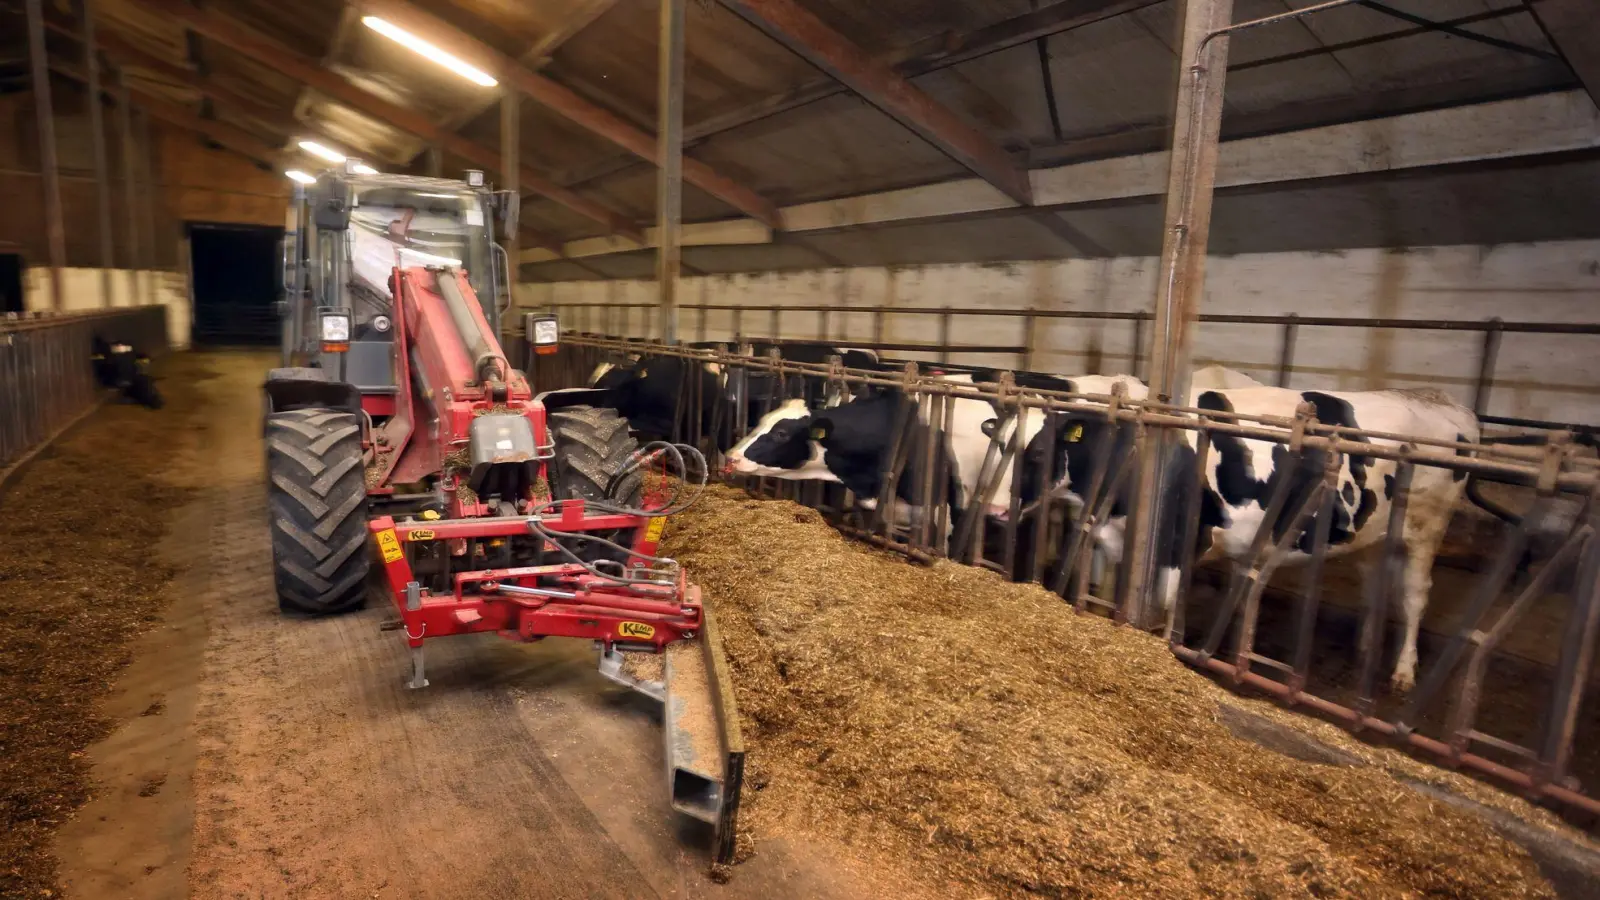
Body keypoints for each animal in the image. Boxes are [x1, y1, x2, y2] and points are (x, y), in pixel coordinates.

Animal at [1024, 384, 1472, 685]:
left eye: (1038, 453)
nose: (1010, 507)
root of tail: (1444, 401)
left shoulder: (1178, 545)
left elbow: (1164, 607)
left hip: (1428, 527)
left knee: (1414, 596)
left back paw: (1403, 671)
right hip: (1373, 534)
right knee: (1373, 583)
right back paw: (1365, 648)